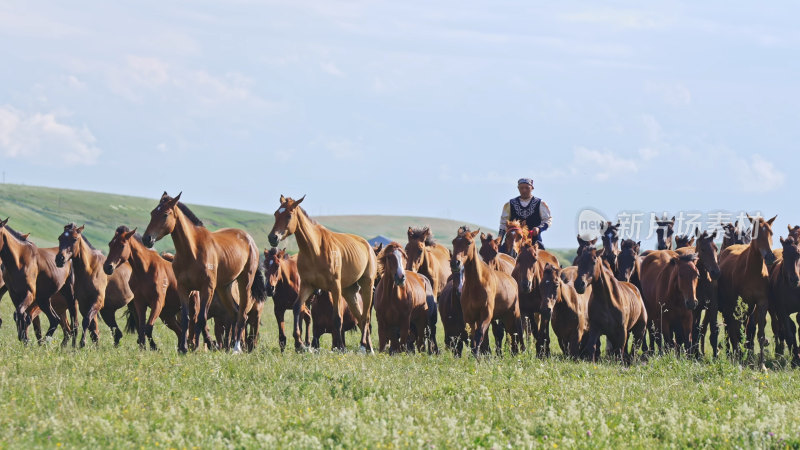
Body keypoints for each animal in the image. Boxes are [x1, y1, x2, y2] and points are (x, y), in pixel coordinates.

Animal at [142, 192, 268, 354]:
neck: (192, 251)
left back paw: (236, 348)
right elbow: (186, 318)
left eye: (165, 214)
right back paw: (228, 348)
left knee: (242, 316)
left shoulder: (206, 288)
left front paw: (195, 347)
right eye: (152, 213)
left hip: (244, 283)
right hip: (223, 288)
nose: (147, 239)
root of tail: (249, 239)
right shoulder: (183, 288)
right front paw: (183, 348)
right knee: (234, 313)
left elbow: (201, 318)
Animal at [268, 195, 376, 354]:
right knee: (361, 317)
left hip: (367, 286)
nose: (272, 238)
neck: (315, 250)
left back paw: (363, 346)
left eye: (289, 215)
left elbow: (337, 318)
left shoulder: (335, 288)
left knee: (366, 317)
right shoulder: (307, 286)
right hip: (349, 292)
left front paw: (340, 347)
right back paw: (369, 348)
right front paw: (300, 343)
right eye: (276, 214)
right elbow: (297, 308)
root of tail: (367, 245)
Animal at [716, 214, 780, 370]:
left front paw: (762, 366)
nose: (770, 257)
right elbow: (736, 331)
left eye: (771, 233)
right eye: (756, 235)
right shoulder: (738, 304)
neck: (751, 271)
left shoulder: (761, 303)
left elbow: (760, 335)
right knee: (731, 329)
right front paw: (739, 359)